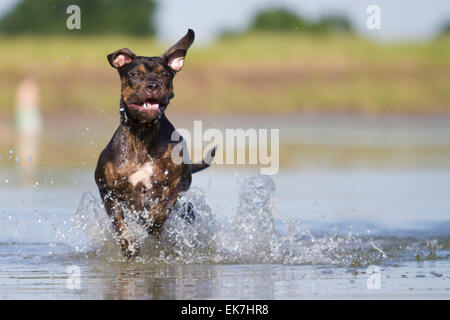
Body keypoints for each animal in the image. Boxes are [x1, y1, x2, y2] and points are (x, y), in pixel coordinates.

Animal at [94, 29, 214, 260]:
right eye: (134, 74)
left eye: (166, 75)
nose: (153, 85)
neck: (143, 134)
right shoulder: (107, 192)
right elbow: (119, 224)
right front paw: (130, 248)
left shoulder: (178, 184)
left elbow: (163, 208)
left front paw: (153, 224)